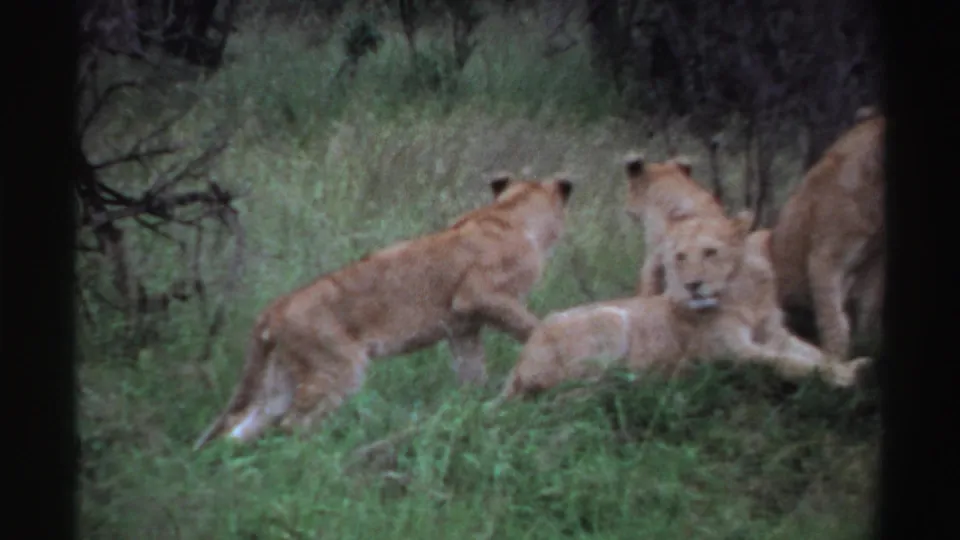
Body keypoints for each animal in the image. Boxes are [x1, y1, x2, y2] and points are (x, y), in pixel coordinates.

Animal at [193, 173, 575, 450]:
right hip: (339, 367)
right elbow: (536, 326)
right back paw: (315, 461)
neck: (510, 213)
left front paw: (472, 406)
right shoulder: (479, 295)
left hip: (279, 379)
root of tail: (275, 306)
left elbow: (472, 370)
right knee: (293, 424)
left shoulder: (463, 327)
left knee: (243, 428)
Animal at [492, 212, 872, 404]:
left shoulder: (775, 334)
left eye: (710, 252)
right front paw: (841, 377)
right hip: (609, 320)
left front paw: (850, 366)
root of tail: (519, 364)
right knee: (574, 389)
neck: (744, 294)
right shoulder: (730, 352)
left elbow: (812, 352)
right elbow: (786, 362)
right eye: (680, 257)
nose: (692, 285)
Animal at [769, 113, 885, 360]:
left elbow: (868, 310)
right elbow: (833, 318)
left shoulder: (874, 262)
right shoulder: (824, 258)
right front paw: (835, 359)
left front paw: (866, 346)